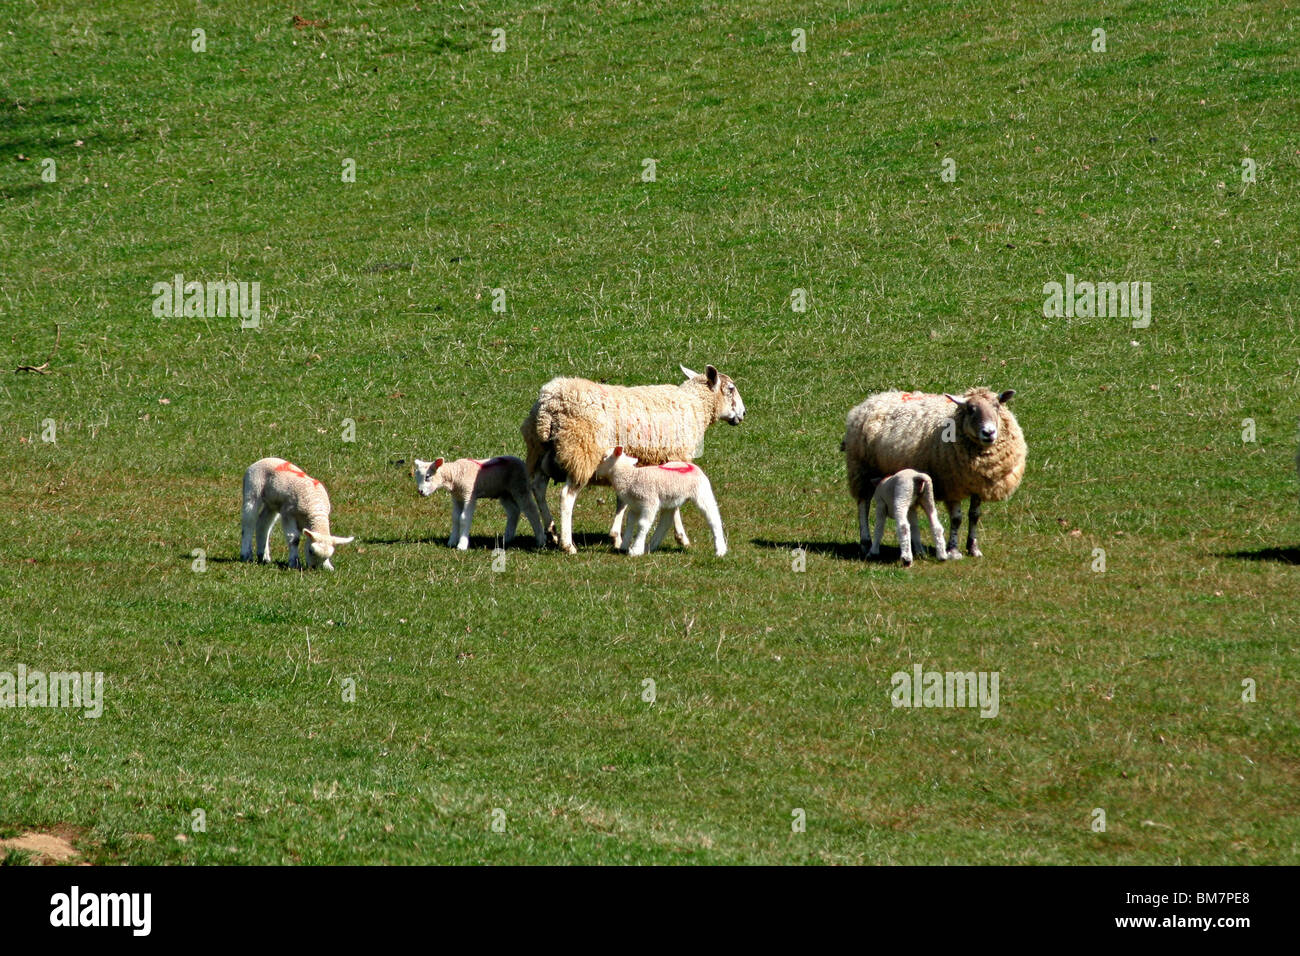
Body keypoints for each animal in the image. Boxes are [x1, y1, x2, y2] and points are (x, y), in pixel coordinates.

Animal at [410, 457, 543, 554]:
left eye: (427, 477)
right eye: (416, 477)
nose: (420, 492)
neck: (455, 474)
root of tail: (520, 461)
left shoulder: (469, 495)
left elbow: (464, 518)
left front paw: (462, 545)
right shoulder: (457, 497)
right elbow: (455, 518)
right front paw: (452, 541)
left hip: (520, 486)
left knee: (531, 510)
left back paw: (541, 540)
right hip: (504, 492)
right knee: (514, 511)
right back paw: (507, 538)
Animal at [592, 450, 728, 561]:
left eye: (604, 457)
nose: (595, 472)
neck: (630, 477)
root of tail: (691, 466)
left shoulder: (649, 502)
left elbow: (642, 524)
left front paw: (636, 550)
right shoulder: (634, 505)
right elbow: (630, 522)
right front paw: (624, 546)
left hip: (702, 492)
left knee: (713, 518)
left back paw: (720, 549)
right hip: (671, 500)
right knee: (665, 522)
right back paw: (650, 546)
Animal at [842, 385, 1024, 556]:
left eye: (997, 406)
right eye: (970, 409)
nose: (989, 432)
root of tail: (870, 401)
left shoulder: (979, 484)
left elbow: (974, 516)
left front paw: (973, 548)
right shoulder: (952, 484)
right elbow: (956, 518)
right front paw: (953, 550)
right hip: (861, 469)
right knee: (863, 504)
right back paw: (866, 542)